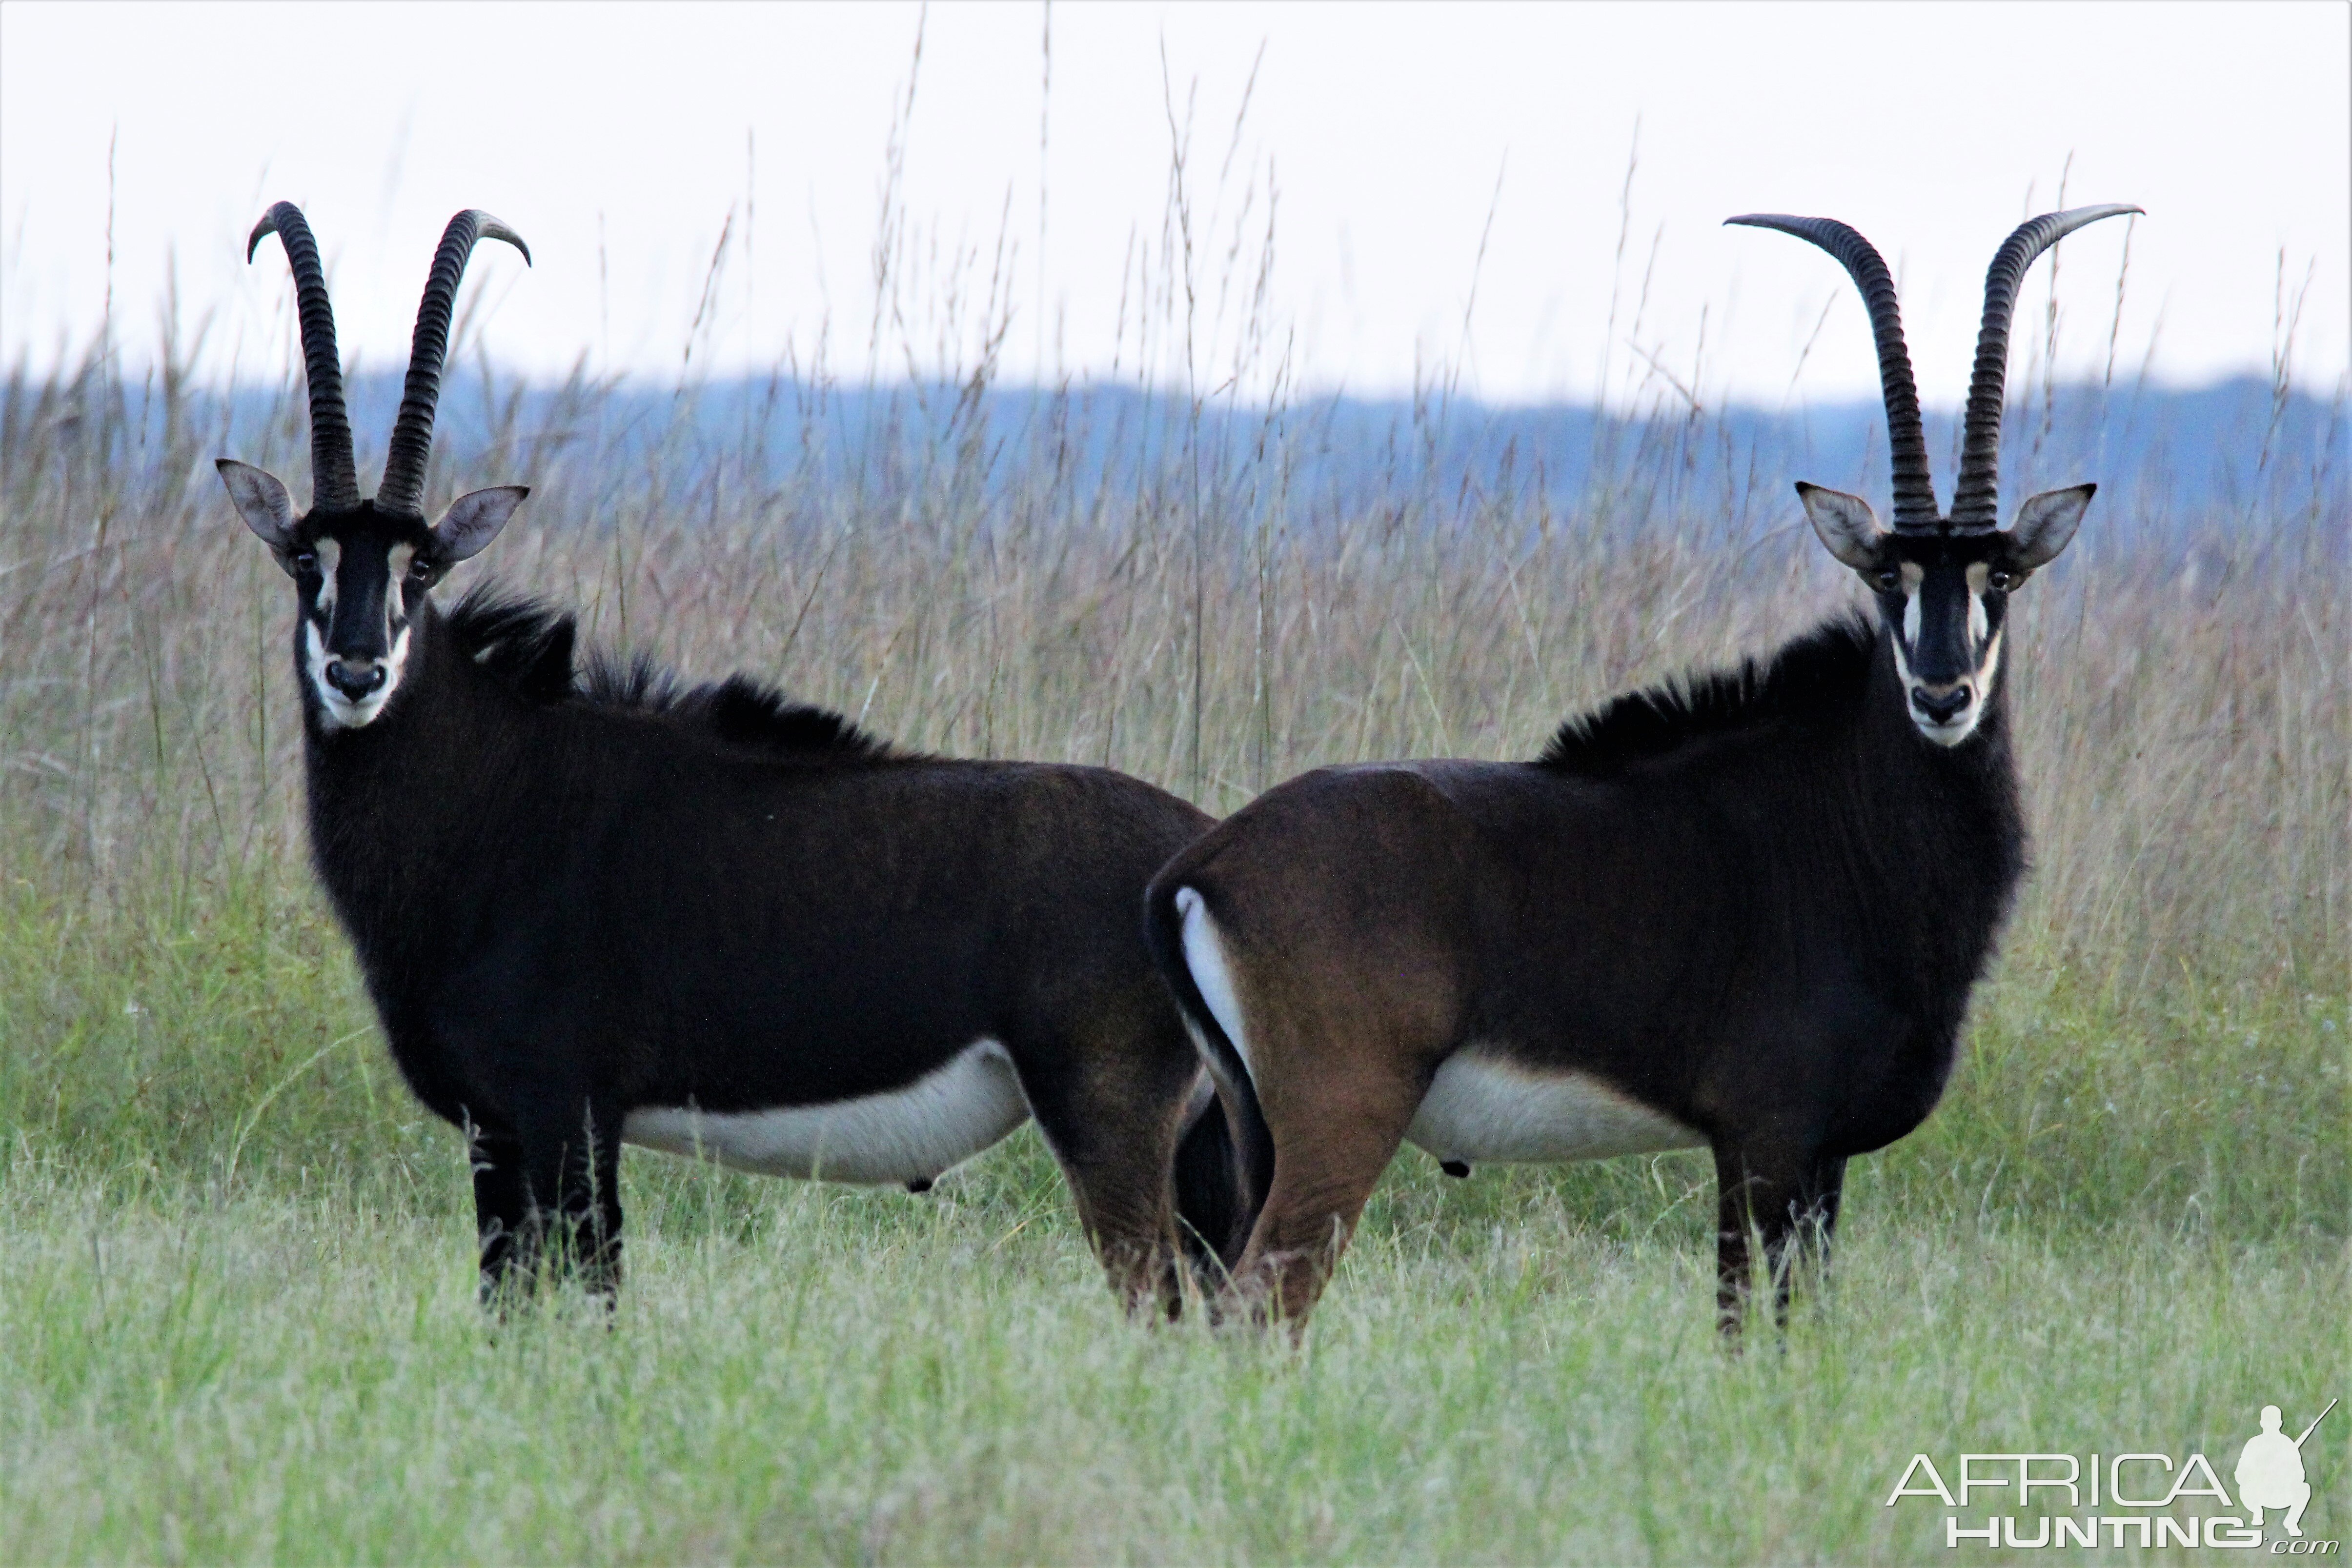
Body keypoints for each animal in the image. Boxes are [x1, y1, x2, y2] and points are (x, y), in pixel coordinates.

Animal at [216, 205, 1232, 1316]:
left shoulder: (568, 1110)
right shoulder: (498, 1128)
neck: (494, 786)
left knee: (1161, 1299)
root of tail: (1204, 855)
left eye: (424, 564)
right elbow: (506, 1304)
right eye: (305, 558)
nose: (358, 671)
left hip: (1111, 1118)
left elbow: (590, 1294)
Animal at [1148, 205, 2145, 1335]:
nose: (1942, 694)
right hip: (1338, 1121)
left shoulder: (1818, 1160)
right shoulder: (1763, 1142)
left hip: (1253, 1134)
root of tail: (1202, 867)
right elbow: (1752, 1330)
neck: (1846, 827)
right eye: (1888, 576)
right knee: (1260, 1303)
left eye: (2001, 575)